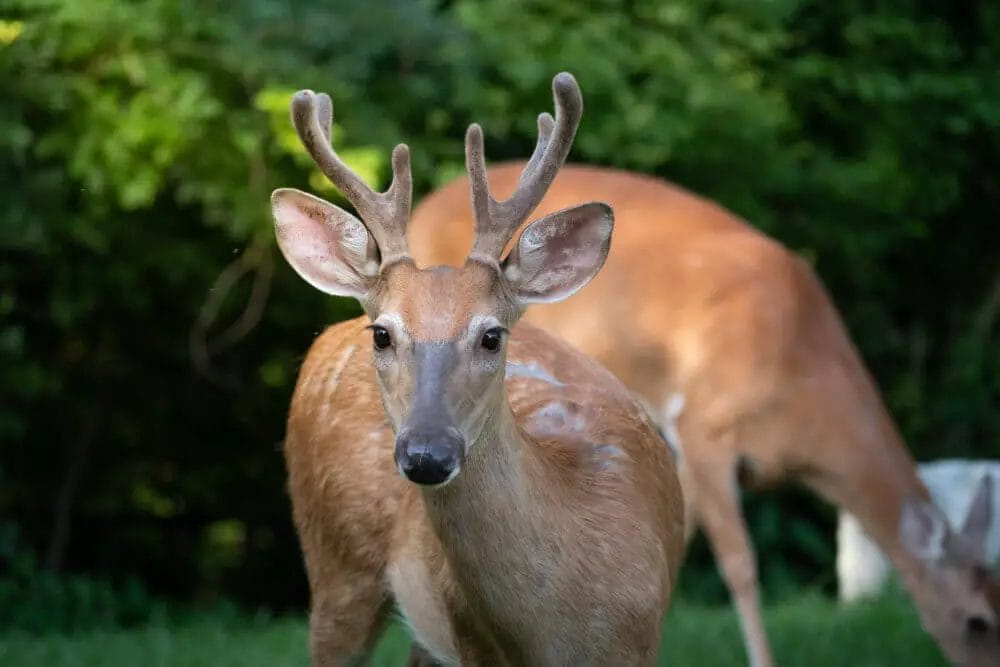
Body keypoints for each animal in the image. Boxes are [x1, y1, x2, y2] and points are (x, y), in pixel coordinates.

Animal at [272, 73, 685, 666]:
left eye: (492, 335)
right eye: (383, 333)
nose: (427, 453)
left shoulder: (639, 643)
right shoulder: (471, 642)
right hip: (335, 560)